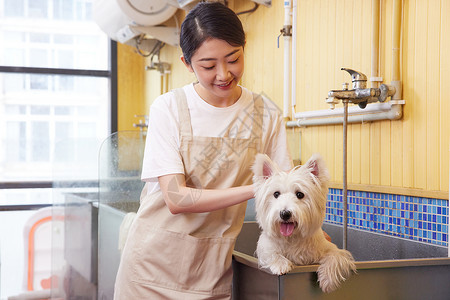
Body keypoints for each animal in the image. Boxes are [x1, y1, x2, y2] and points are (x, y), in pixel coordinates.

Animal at [253, 154, 356, 294]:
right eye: (276, 194)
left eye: (299, 194)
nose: (285, 214)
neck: (292, 239)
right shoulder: (265, 248)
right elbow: (271, 253)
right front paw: (281, 264)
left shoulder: (330, 249)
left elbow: (335, 257)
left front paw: (327, 281)